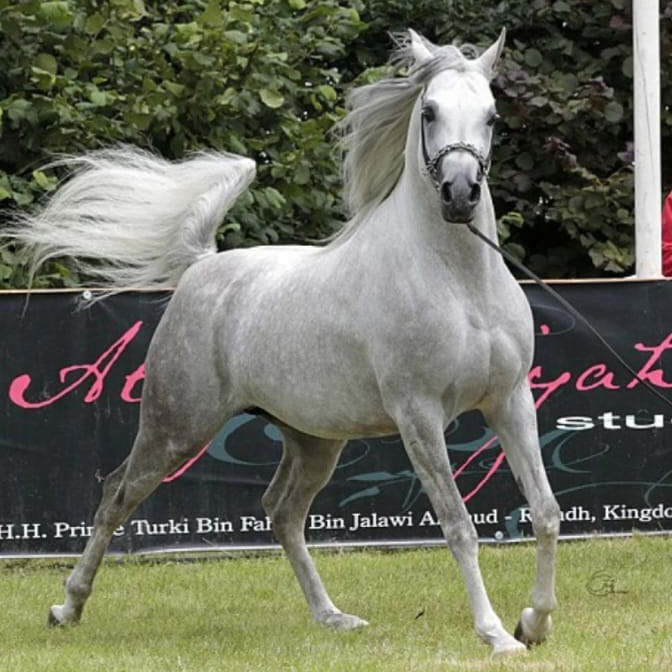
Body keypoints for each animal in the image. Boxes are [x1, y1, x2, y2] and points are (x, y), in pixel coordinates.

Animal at [5, 28, 560, 657]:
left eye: (492, 116)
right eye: (429, 111)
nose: (460, 193)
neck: (460, 283)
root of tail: (203, 267)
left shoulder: (509, 401)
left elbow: (545, 510)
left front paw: (534, 622)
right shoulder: (419, 415)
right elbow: (459, 525)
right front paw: (496, 635)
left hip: (313, 439)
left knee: (282, 511)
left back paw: (333, 616)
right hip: (176, 426)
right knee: (117, 494)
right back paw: (66, 607)